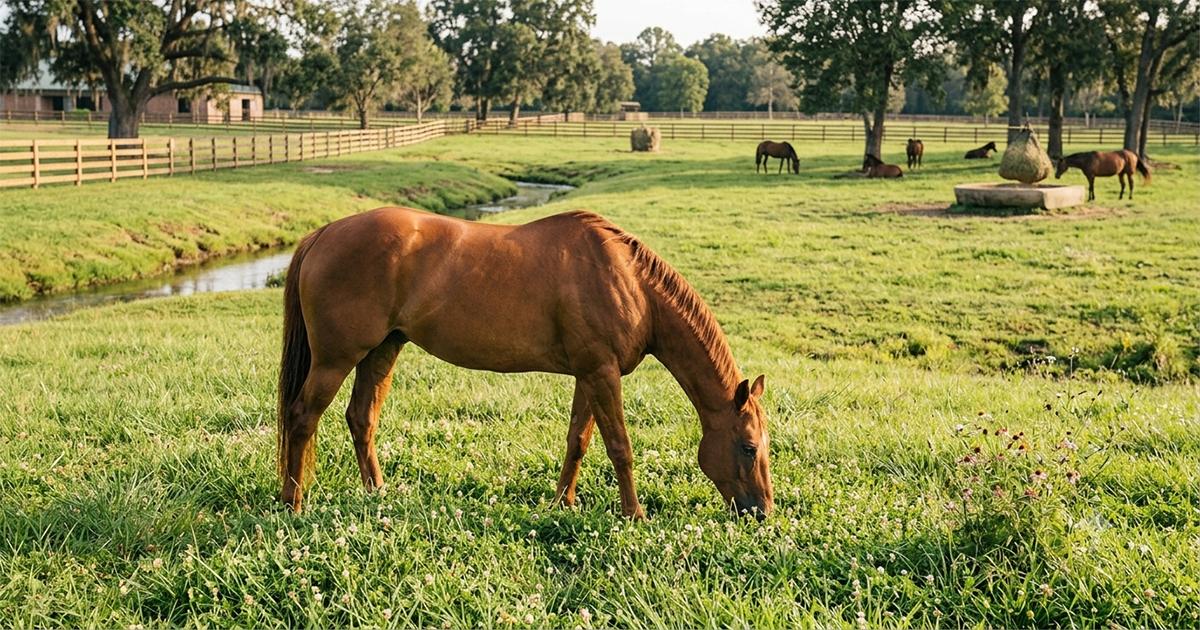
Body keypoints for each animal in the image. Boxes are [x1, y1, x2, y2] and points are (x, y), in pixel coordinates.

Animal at [277, 208, 775, 520]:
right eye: (749, 447)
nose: (762, 512)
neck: (629, 280)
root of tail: (323, 234)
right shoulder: (602, 373)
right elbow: (620, 447)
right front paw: (634, 513)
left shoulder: (589, 374)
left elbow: (578, 441)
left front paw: (563, 503)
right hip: (335, 359)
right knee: (302, 418)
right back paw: (292, 504)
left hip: (382, 350)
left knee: (361, 417)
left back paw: (376, 492)